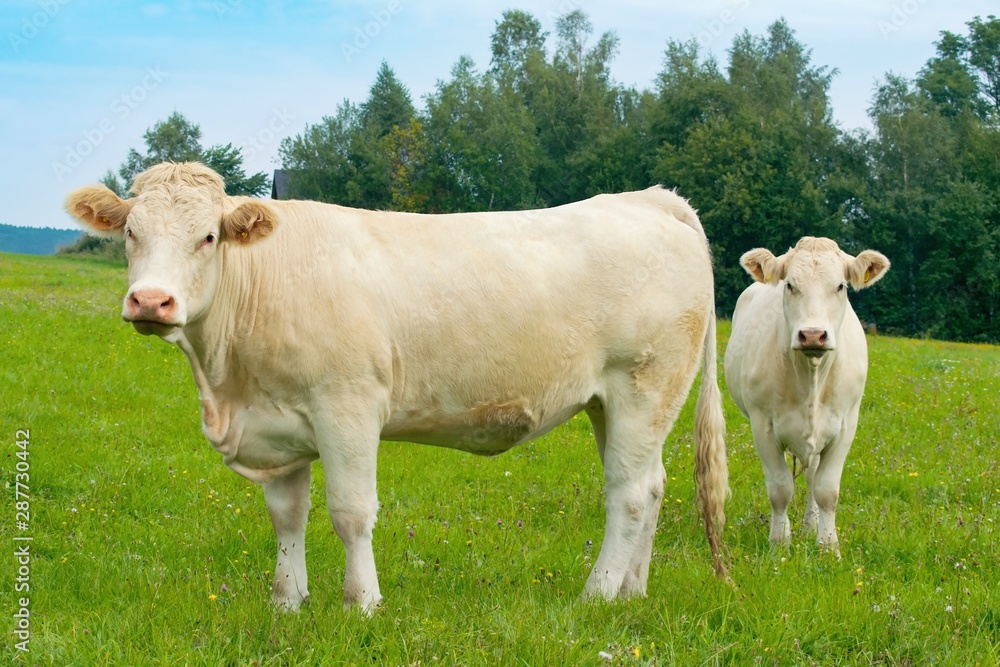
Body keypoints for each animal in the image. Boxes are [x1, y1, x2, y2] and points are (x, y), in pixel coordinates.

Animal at [68, 162, 728, 612]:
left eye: (207, 236)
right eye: (131, 232)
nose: (151, 300)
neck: (228, 385)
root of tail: (652, 198)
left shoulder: (348, 406)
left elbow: (351, 512)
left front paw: (362, 604)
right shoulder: (275, 423)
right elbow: (287, 516)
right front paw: (287, 601)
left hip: (643, 385)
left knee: (629, 494)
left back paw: (598, 593)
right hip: (612, 405)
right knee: (653, 484)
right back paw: (633, 591)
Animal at [724, 237, 888, 556]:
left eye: (841, 286)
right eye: (789, 285)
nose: (813, 335)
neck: (811, 375)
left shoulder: (846, 424)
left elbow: (827, 490)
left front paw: (828, 545)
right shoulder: (762, 425)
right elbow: (780, 489)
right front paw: (779, 542)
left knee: (812, 476)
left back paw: (811, 525)